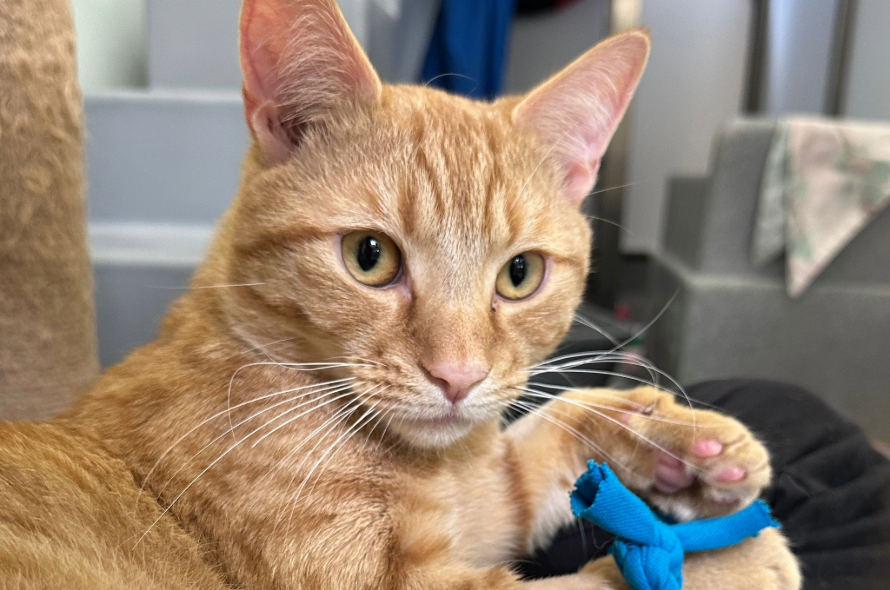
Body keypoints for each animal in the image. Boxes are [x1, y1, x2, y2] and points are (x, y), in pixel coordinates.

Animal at [1, 1, 796, 590]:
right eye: (370, 257)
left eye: (520, 274)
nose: (458, 378)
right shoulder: (390, 581)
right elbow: (586, 583)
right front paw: (733, 559)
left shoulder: (479, 500)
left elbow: (536, 440)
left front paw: (684, 441)